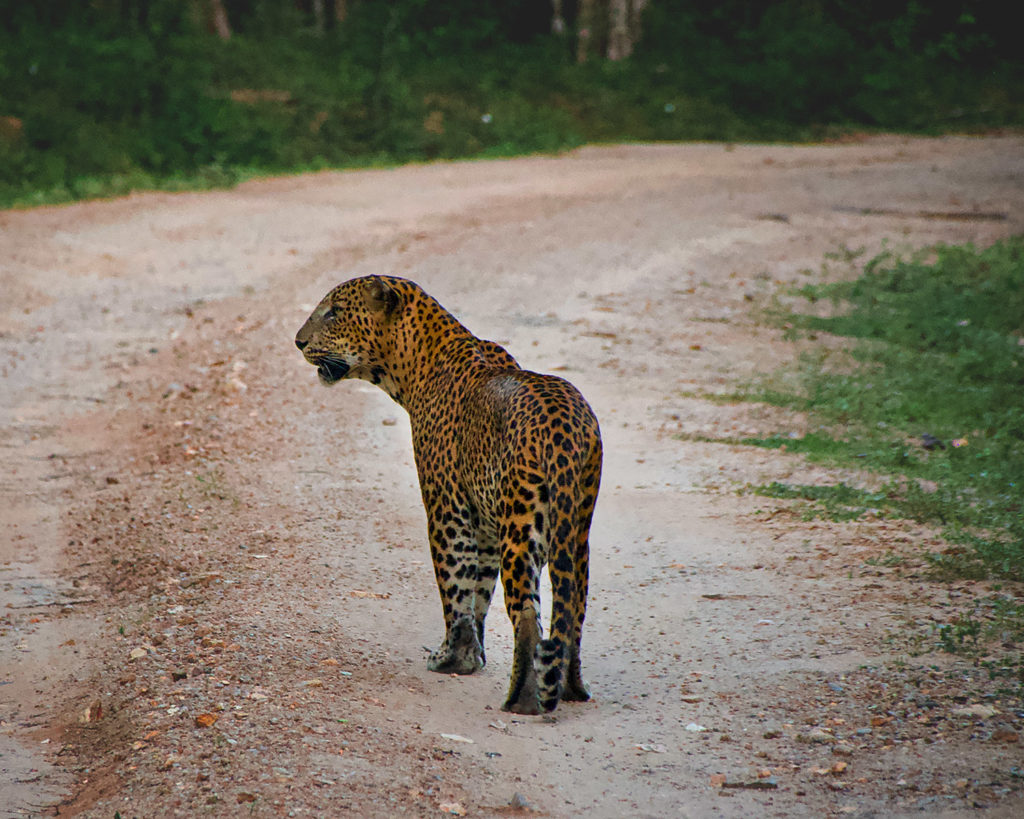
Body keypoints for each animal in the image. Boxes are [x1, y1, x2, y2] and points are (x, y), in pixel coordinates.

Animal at [294, 275, 602, 714]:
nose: (298, 342)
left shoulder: (447, 506)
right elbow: (478, 591)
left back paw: (522, 699)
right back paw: (572, 686)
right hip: (575, 530)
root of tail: (565, 432)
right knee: (573, 604)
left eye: (334, 312)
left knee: (527, 611)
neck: (413, 365)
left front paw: (453, 659)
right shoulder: (485, 523)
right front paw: (473, 654)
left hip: (522, 526)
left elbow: (454, 581)